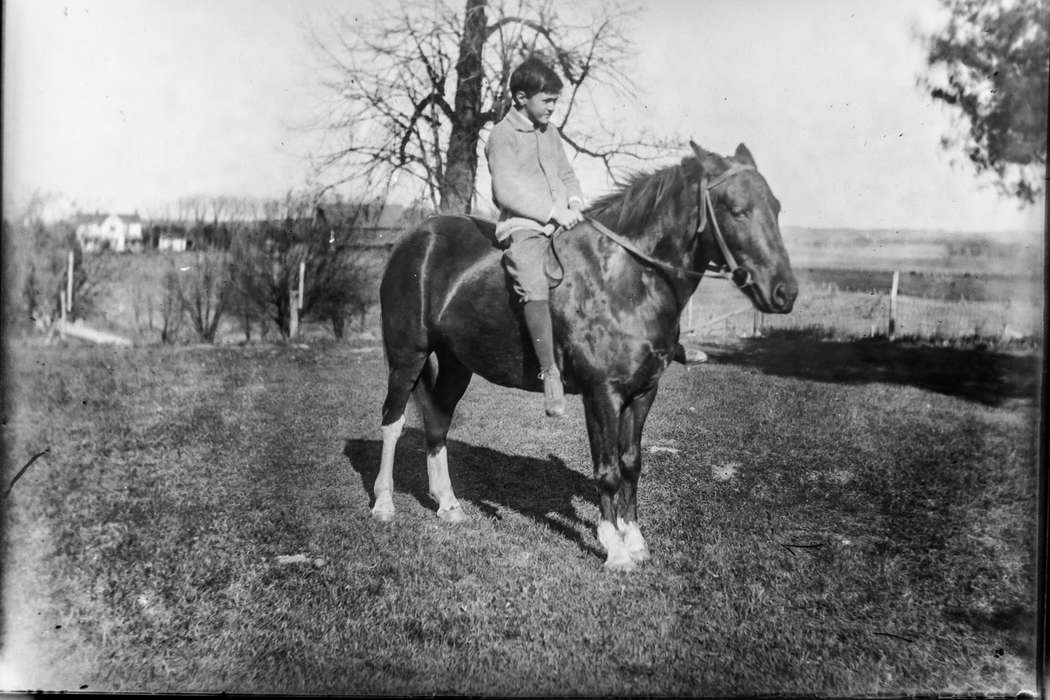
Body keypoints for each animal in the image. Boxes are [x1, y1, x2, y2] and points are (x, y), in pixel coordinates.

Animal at [369, 140, 793, 570]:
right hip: (408, 356)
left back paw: (449, 505)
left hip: (458, 364)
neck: (625, 280)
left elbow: (631, 463)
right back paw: (384, 504)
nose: (785, 292)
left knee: (438, 422)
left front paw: (635, 539)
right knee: (393, 420)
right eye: (737, 209)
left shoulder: (643, 393)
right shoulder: (602, 394)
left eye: (776, 207)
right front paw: (615, 549)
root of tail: (414, 238)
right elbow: (606, 469)